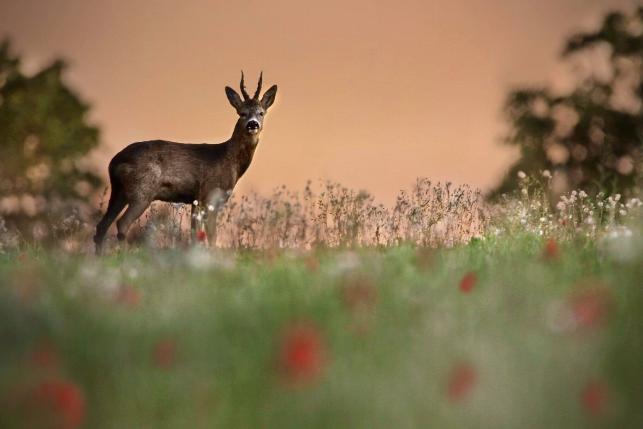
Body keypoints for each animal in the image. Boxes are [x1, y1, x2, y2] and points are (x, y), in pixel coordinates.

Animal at [93, 72, 276, 252]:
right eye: (242, 113)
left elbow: (195, 235)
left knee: (101, 226)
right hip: (142, 190)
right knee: (122, 223)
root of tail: (115, 161)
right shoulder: (210, 195)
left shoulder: (196, 200)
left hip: (119, 191)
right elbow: (212, 237)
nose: (253, 124)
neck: (230, 160)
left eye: (261, 112)